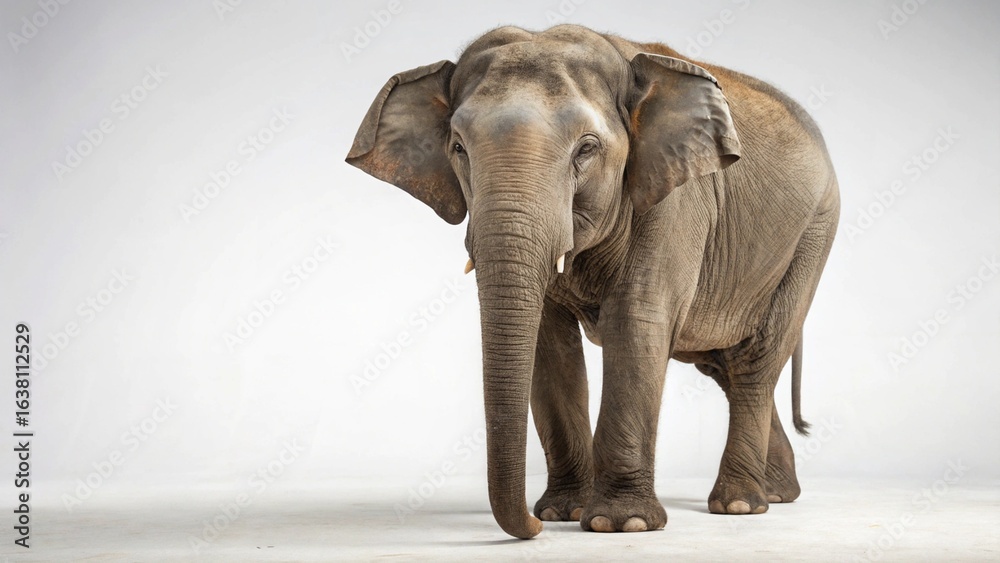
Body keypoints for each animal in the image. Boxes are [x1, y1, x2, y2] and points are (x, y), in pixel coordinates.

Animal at [346, 24, 839, 539]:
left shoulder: (675, 200)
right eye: (458, 148)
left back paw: (740, 504)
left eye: (586, 148)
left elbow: (637, 323)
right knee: (721, 362)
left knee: (754, 361)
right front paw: (563, 513)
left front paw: (619, 523)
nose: (532, 526)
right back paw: (777, 493)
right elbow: (549, 343)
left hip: (813, 235)